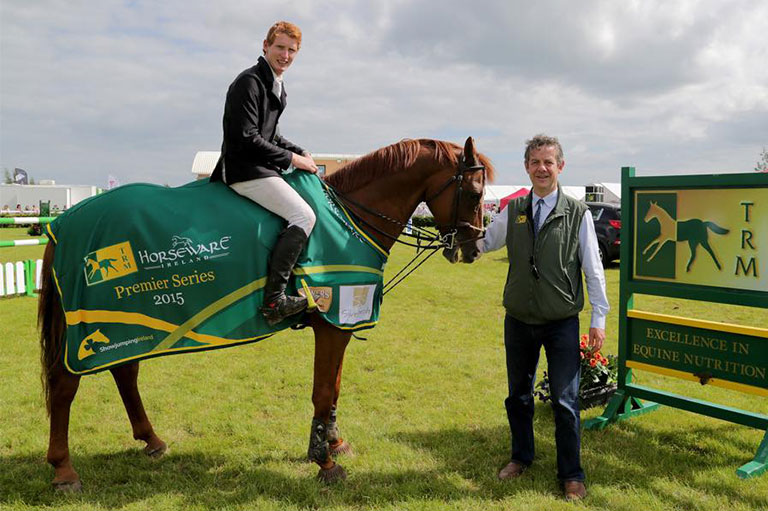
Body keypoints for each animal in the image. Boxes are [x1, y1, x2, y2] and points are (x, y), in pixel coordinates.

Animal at [39, 136, 496, 492]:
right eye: (476, 194)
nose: (473, 249)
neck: (348, 217)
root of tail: (62, 223)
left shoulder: (339, 325)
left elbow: (335, 389)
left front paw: (333, 443)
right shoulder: (332, 322)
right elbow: (323, 391)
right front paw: (325, 462)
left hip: (123, 324)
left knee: (125, 372)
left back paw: (151, 440)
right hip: (89, 330)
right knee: (64, 386)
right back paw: (64, 470)